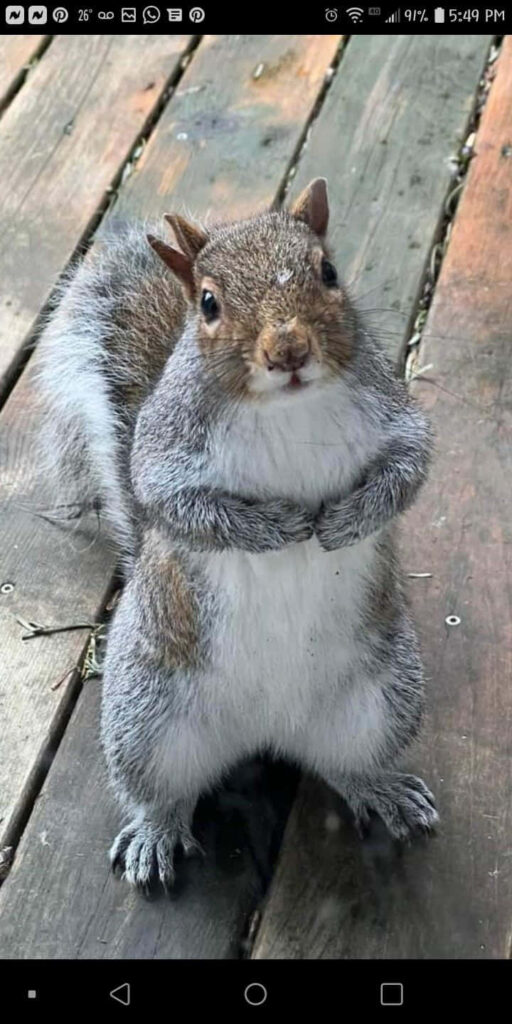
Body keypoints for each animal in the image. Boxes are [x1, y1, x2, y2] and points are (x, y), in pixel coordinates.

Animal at [36, 178, 438, 893]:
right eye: (208, 303)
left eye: (328, 272)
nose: (289, 351)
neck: (285, 409)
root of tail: (270, 729)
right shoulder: (165, 453)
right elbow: (178, 505)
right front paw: (274, 527)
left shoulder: (395, 418)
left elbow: (408, 468)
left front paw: (347, 520)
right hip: (146, 718)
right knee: (161, 790)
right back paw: (154, 833)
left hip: (384, 697)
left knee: (349, 764)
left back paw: (383, 788)